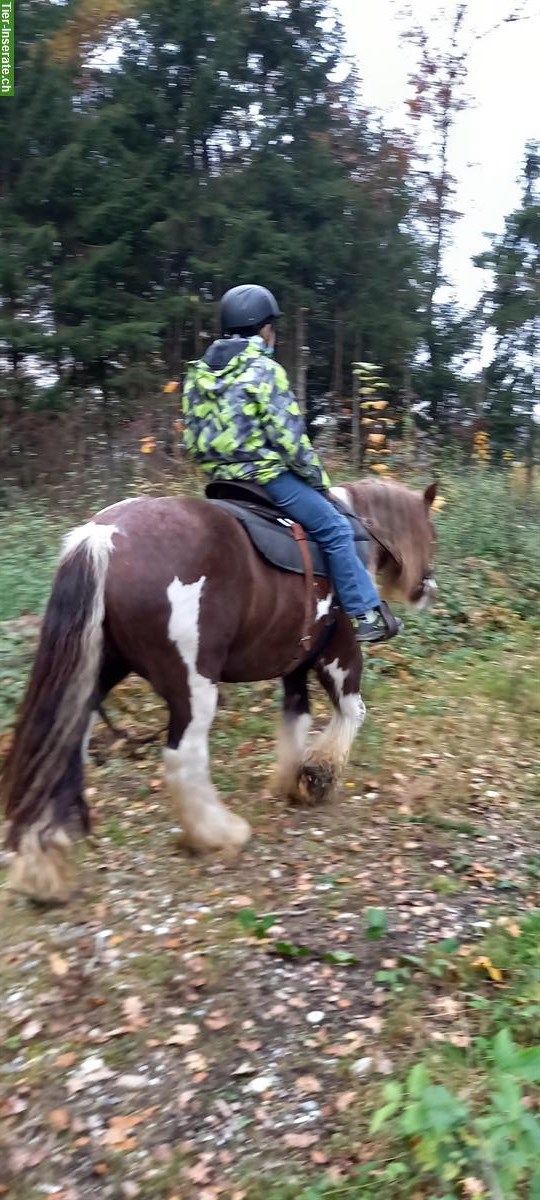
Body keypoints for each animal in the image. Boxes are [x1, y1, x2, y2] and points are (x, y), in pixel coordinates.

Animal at [1, 475, 439, 902]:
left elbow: (295, 719)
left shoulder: (294, 662)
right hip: (193, 685)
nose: (427, 588)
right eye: (430, 530)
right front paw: (319, 775)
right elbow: (352, 711)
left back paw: (42, 866)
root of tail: (102, 537)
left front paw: (291, 780)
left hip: (97, 671)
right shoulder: (339, 651)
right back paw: (218, 832)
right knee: (183, 757)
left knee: (60, 746)